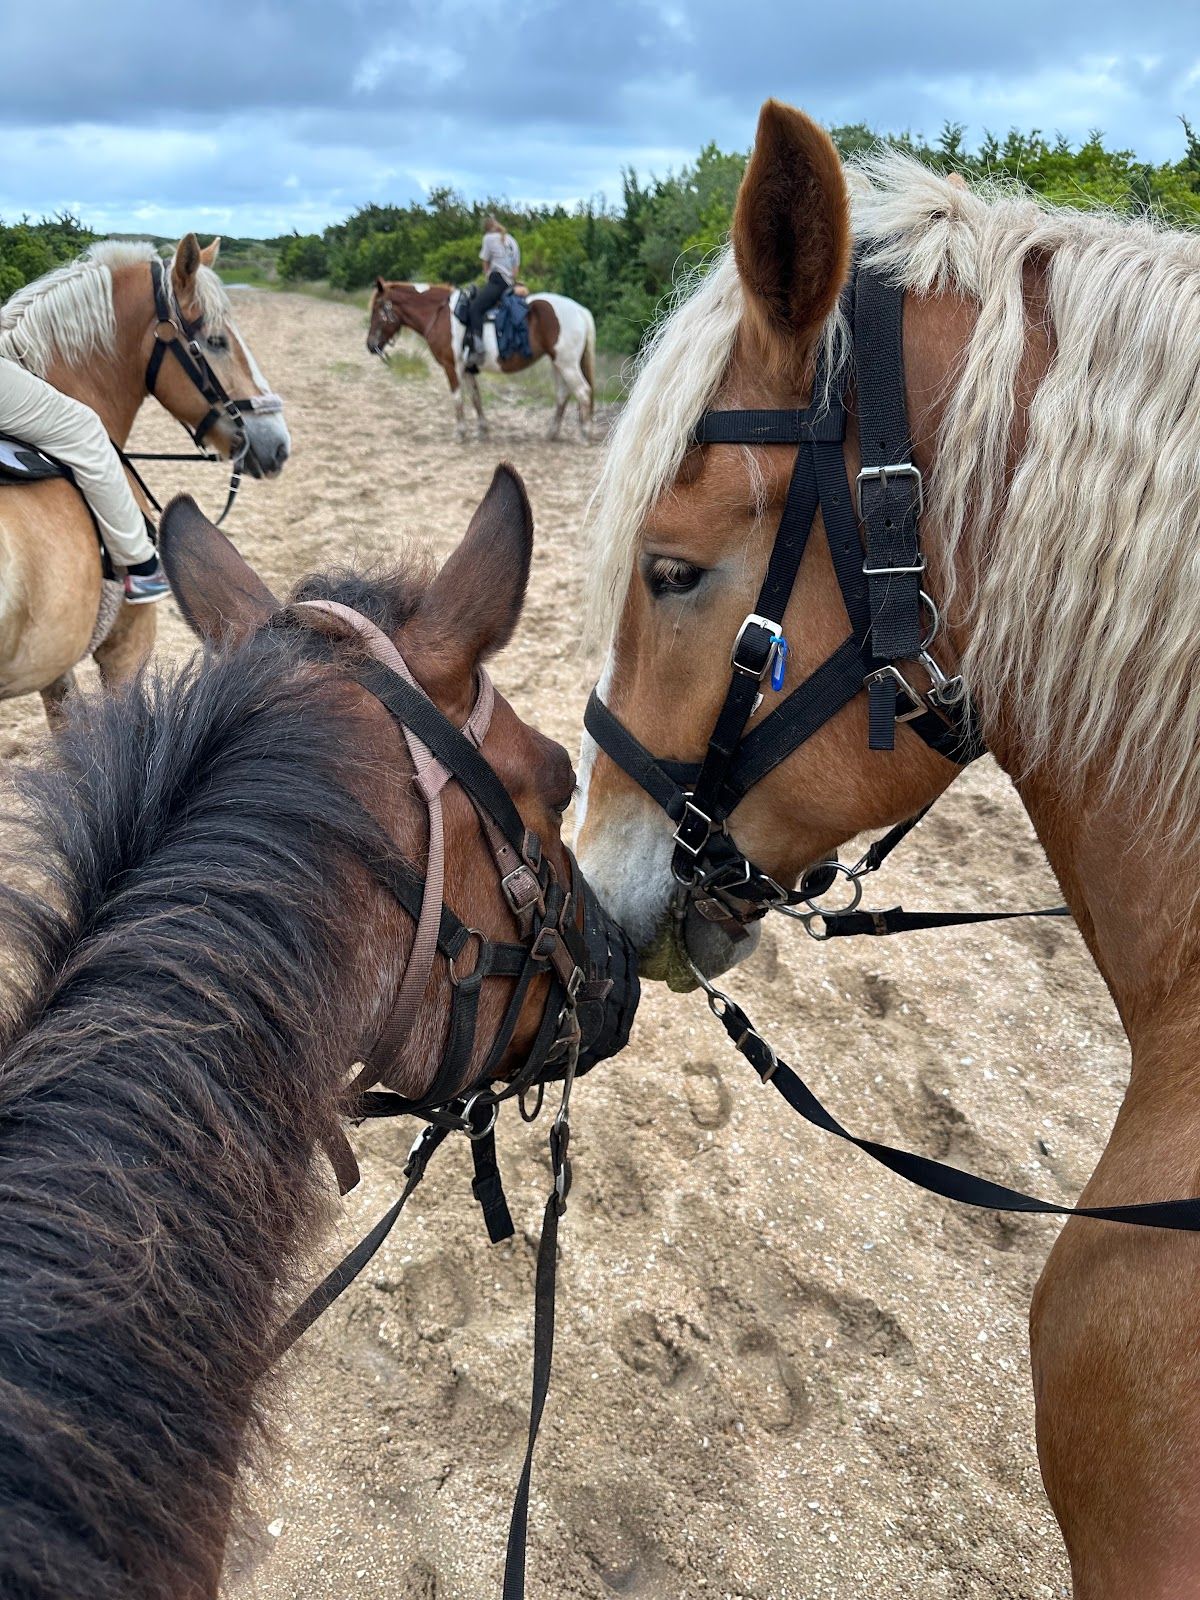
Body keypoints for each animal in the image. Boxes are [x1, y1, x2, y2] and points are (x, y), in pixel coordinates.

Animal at [366, 279, 596, 443]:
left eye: (377, 309)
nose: (370, 345)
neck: (440, 314)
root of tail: (580, 310)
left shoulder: (452, 366)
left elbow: (457, 397)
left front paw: (460, 433)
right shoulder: (467, 368)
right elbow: (475, 397)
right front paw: (482, 431)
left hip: (567, 364)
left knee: (583, 392)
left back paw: (584, 434)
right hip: (558, 363)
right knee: (563, 394)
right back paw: (552, 433)